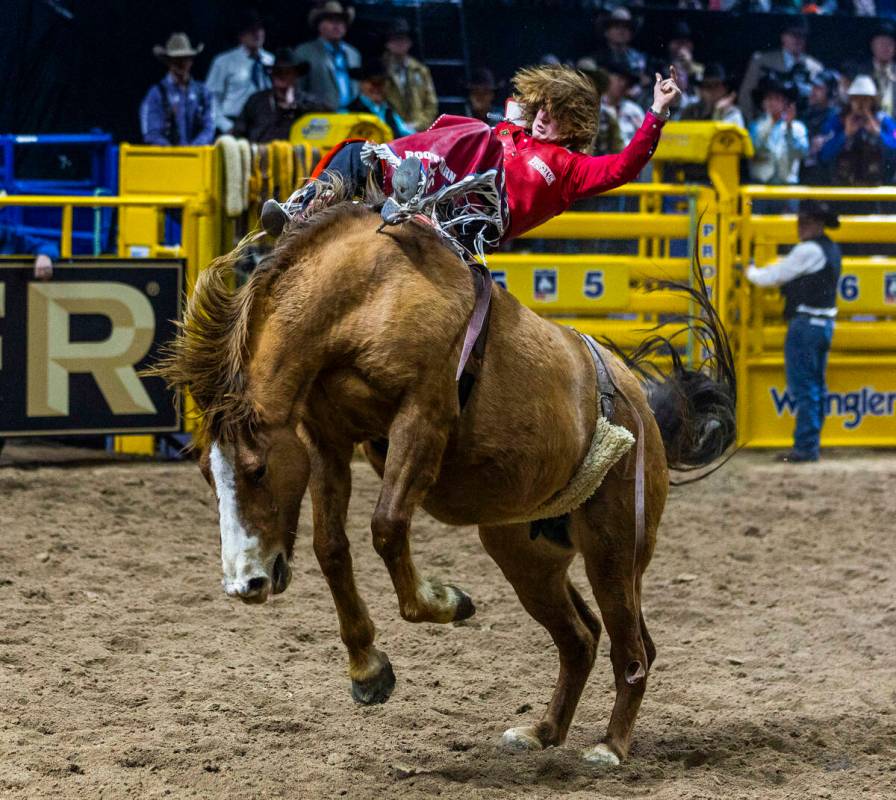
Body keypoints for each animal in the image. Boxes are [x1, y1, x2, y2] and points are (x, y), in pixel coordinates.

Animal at [154, 184, 736, 764]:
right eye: (208, 475)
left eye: (255, 470)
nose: (244, 583)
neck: (364, 301)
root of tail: (640, 403)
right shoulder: (326, 440)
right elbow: (331, 547)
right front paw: (368, 669)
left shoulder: (423, 415)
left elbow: (386, 526)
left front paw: (447, 602)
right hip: (526, 556)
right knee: (581, 637)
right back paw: (542, 731)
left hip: (615, 548)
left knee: (632, 646)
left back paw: (610, 746)